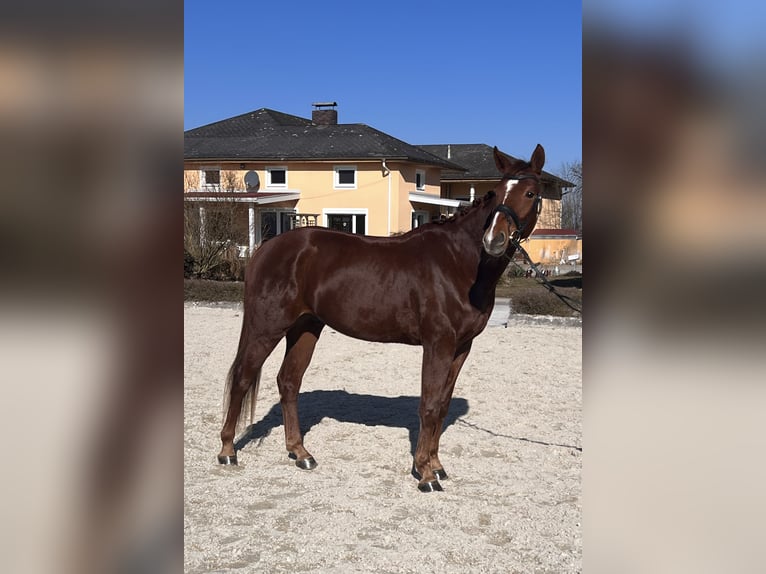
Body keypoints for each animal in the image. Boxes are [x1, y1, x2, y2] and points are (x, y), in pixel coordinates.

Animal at [219, 146, 548, 492]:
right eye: (497, 192)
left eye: (529, 193)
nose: (494, 240)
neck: (459, 263)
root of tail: (265, 248)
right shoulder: (438, 344)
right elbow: (429, 404)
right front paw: (425, 474)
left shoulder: (461, 347)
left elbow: (442, 406)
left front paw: (437, 465)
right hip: (267, 325)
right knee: (242, 377)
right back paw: (228, 450)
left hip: (305, 327)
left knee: (289, 382)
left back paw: (300, 453)